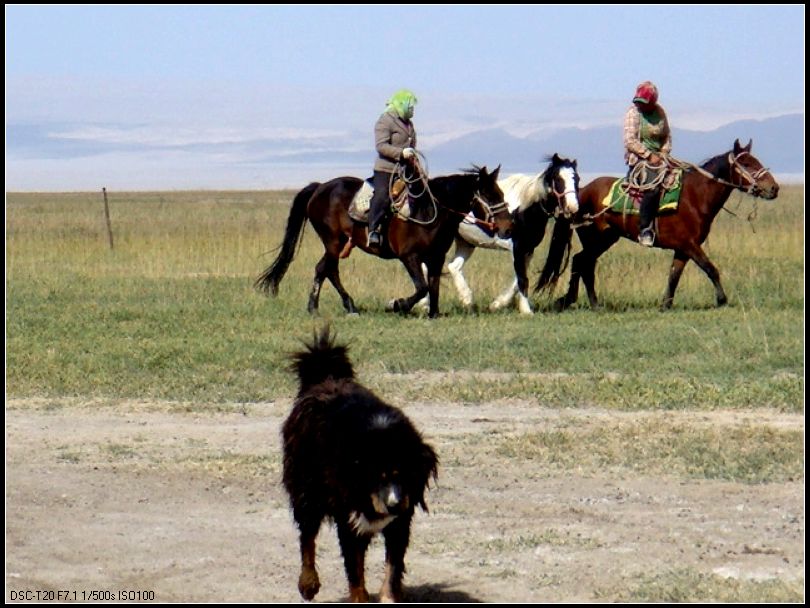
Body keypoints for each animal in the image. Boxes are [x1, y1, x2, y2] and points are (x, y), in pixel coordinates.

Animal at [252, 166, 508, 318]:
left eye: (502, 194)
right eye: (490, 195)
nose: (507, 227)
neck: (429, 211)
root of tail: (320, 187)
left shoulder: (436, 257)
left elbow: (433, 286)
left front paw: (433, 313)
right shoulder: (409, 256)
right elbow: (422, 287)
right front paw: (397, 304)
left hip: (341, 242)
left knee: (326, 269)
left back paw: (347, 306)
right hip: (333, 241)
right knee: (326, 269)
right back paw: (316, 307)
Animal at [282, 328, 438, 604]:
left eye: (405, 475)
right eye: (377, 477)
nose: (394, 504)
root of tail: (323, 377)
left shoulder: (401, 521)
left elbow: (392, 569)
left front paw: (388, 597)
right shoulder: (349, 516)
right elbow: (355, 570)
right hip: (306, 488)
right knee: (307, 537)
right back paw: (308, 583)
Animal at [438, 154, 576, 316]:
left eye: (577, 179)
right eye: (558, 179)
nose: (572, 207)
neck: (525, 207)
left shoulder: (528, 249)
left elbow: (518, 280)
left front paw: (497, 304)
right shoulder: (517, 247)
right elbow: (522, 279)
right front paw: (526, 311)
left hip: (466, 242)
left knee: (453, 267)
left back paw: (467, 301)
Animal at [540, 140, 780, 312]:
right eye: (747, 164)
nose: (774, 188)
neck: (696, 196)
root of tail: (579, 193)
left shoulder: (682, 249)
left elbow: (674, 276)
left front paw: (665, 304)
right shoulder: (690, 245)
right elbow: (711, 269)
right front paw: (722, 300)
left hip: (606, 239)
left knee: (581, 262)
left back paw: (575, 301)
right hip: (596, 239)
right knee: (583, 263)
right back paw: (586, 303)